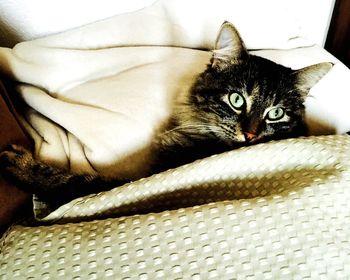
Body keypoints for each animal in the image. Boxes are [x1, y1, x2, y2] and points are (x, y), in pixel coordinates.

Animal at [0, 21, 334, 206]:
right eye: (237, 99)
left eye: (276, 113)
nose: (251, 135)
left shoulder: (134, 184)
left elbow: (72, 181)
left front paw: (21, 165)